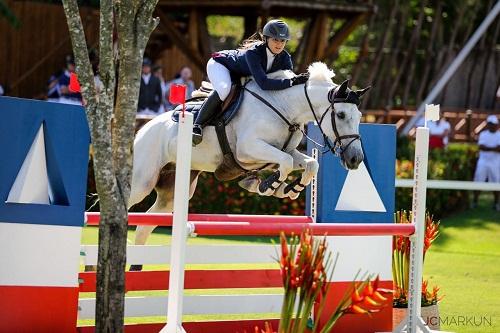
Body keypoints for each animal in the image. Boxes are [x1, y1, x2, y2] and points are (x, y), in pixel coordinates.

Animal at [129, 62, 370, 248]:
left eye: (359, 116)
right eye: (340, 115)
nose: (355, 159)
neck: (285, 106)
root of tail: (140, 131)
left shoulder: (286, 150)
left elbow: (309, 164)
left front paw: (290, 189)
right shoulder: (248, 149)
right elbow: (285, 163)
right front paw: (270, 186)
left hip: (173, 192)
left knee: (143, 226)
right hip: (143, 182)